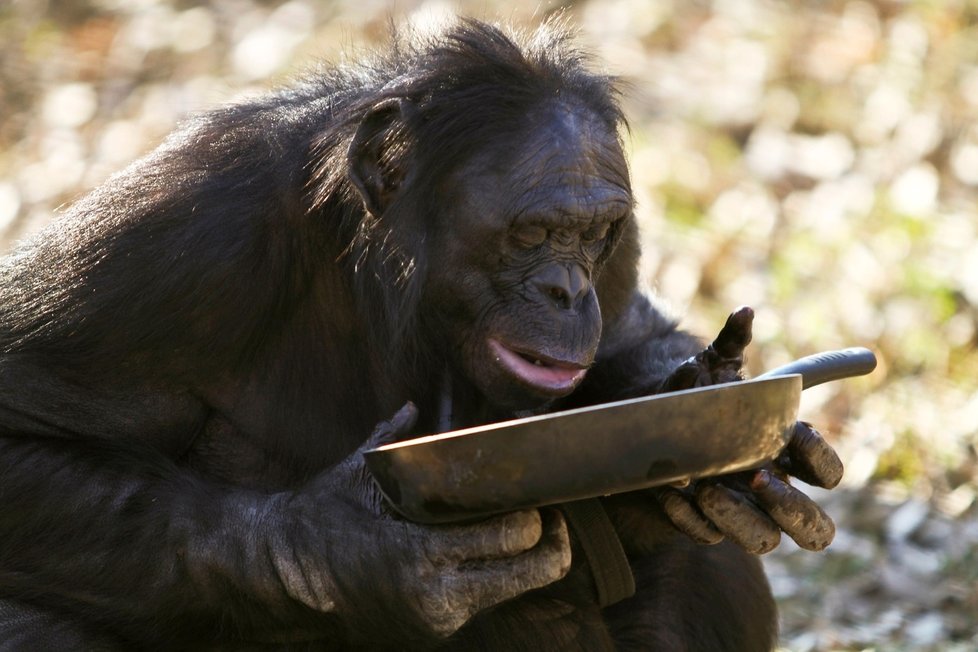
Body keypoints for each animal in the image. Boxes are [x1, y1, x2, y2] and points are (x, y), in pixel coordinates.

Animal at [0, 17, 840, 648]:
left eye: (592, 235)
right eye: (533, 233)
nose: (568, 291)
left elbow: (632, 332)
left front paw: (701, 411)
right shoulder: (172, 239)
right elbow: (27, 424)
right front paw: (348, 549)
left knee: (708, 563)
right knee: (37, 623)